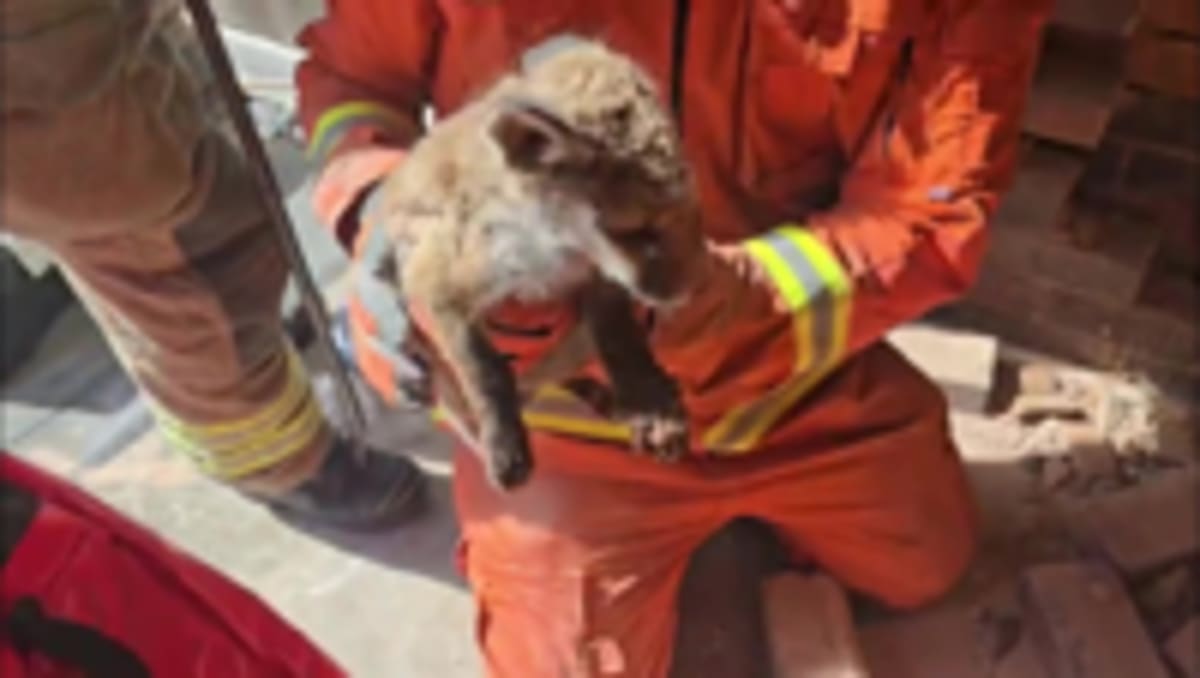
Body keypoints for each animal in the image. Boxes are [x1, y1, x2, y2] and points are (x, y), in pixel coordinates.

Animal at [370, 39, 705, 491]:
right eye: (633, 230)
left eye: (687, 210)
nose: (687, 291)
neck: (546, 254)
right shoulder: (437, 284)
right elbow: (486, 371)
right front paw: (503, 444)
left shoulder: (597, 279)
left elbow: (617, 334)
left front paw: (646, 396)